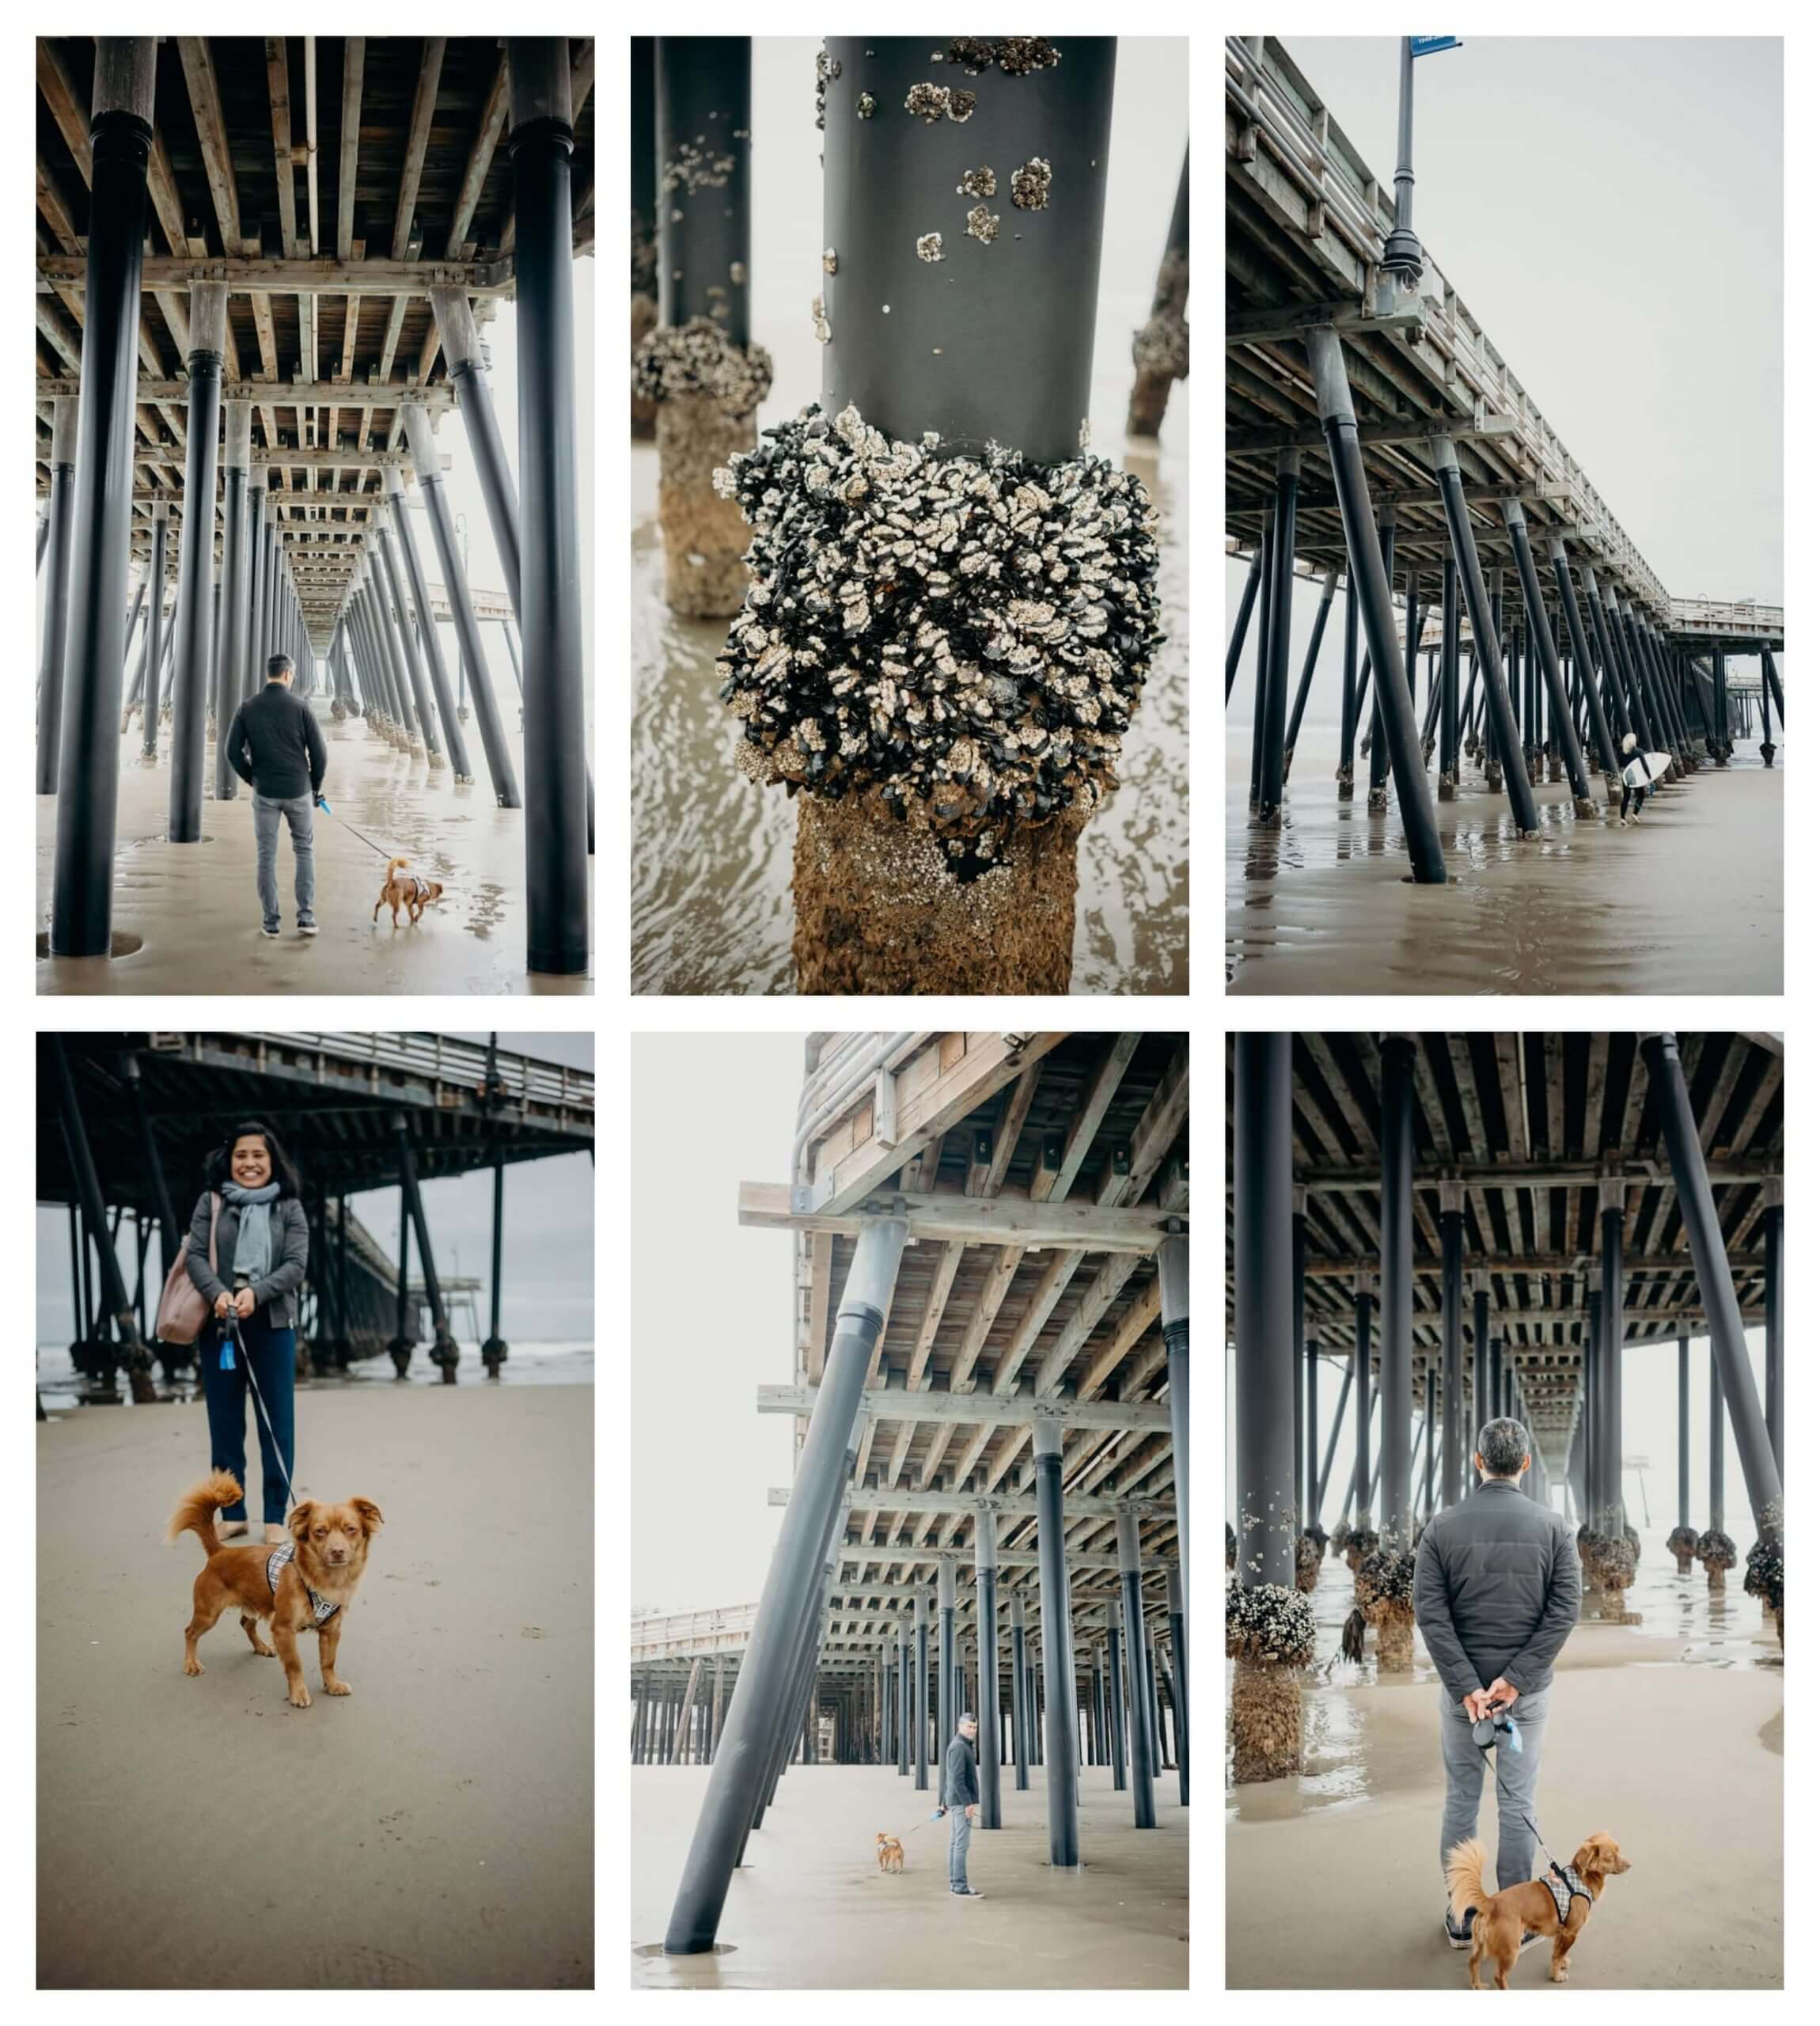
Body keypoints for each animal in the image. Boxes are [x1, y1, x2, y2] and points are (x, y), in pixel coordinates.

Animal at [168, 1474, 385, 1709]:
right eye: (320, 1532)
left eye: (351, 1529)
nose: (337, 1551)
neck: (324, 1579)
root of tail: (220, 1552)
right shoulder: (283, 1628)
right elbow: (295, 1664)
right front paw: (299, 1693)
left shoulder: (331, 1630)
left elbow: (328, 1661)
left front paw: (332, 1685)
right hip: (208, 1614)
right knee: (190, 1632)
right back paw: (191, 1663)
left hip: (254, 1603)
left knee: (246, 1624)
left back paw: (262, 1647)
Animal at [1443, 1831, 1629, 1985]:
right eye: (1611, 1856)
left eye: (1619, 1851)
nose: (1630, 1864)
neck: (1581, 1880)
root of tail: (1491, 1902)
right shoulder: (1571, 1933)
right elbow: (1557, 1956)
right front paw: (1557, 1976)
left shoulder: (1561, 1931)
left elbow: (1557, 1953)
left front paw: (1562, 1964)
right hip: (1511, 1948)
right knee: (1499, 1976)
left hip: (1482, 1944)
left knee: (1473, 1962)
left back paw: (1478, 1986)